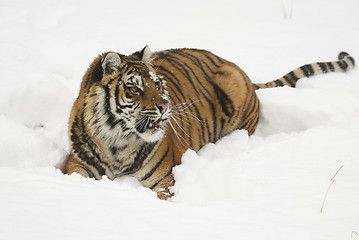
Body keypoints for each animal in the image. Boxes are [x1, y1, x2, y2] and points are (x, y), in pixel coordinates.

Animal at [65, 46, 358, 199]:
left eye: (157, 84)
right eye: (135, 88)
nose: (164, 105)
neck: (117, 142)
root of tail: (243, 72)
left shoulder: (166, 178)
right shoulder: (76, 164)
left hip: (233, 89)